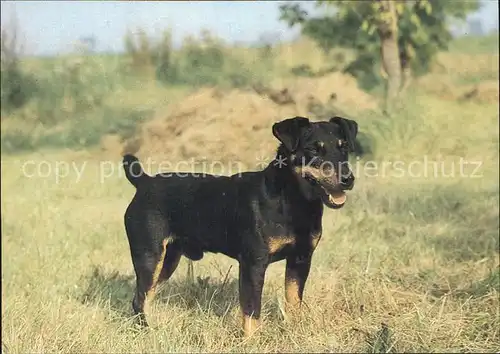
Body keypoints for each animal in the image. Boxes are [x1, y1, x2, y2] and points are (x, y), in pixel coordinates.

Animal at [122, 116, 358, 338]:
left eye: (344, 147)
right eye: (312, 150)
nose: (348, 179)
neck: (291, 199)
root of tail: (144, 182)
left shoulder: (300, 260)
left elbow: (293, 301)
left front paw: (295, 331)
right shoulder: (253, 264)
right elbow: (252, 310)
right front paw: (252, 341)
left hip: (167, 261)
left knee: (146, 295)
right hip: (149, 256)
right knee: (139, 299)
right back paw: (146, 330)